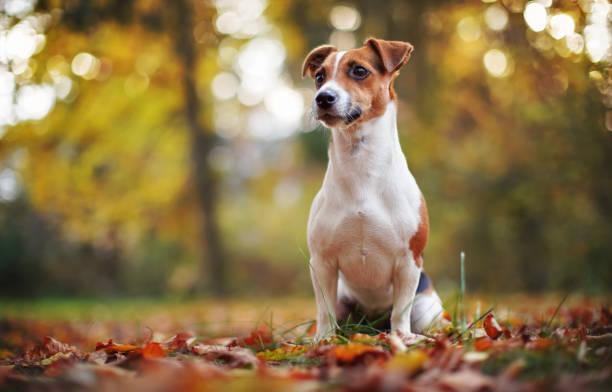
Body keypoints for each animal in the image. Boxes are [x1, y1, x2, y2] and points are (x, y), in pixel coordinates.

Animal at [302, 38, 442, 342]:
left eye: (359, 71)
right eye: (319, 77)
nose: (323, 98)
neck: (362, 168)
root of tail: (372, 322)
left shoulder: (409, 261)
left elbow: (400, 310)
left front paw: (401, 336)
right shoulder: (322, 262)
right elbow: (324, 310)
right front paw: (324, 339)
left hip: (426, 307)